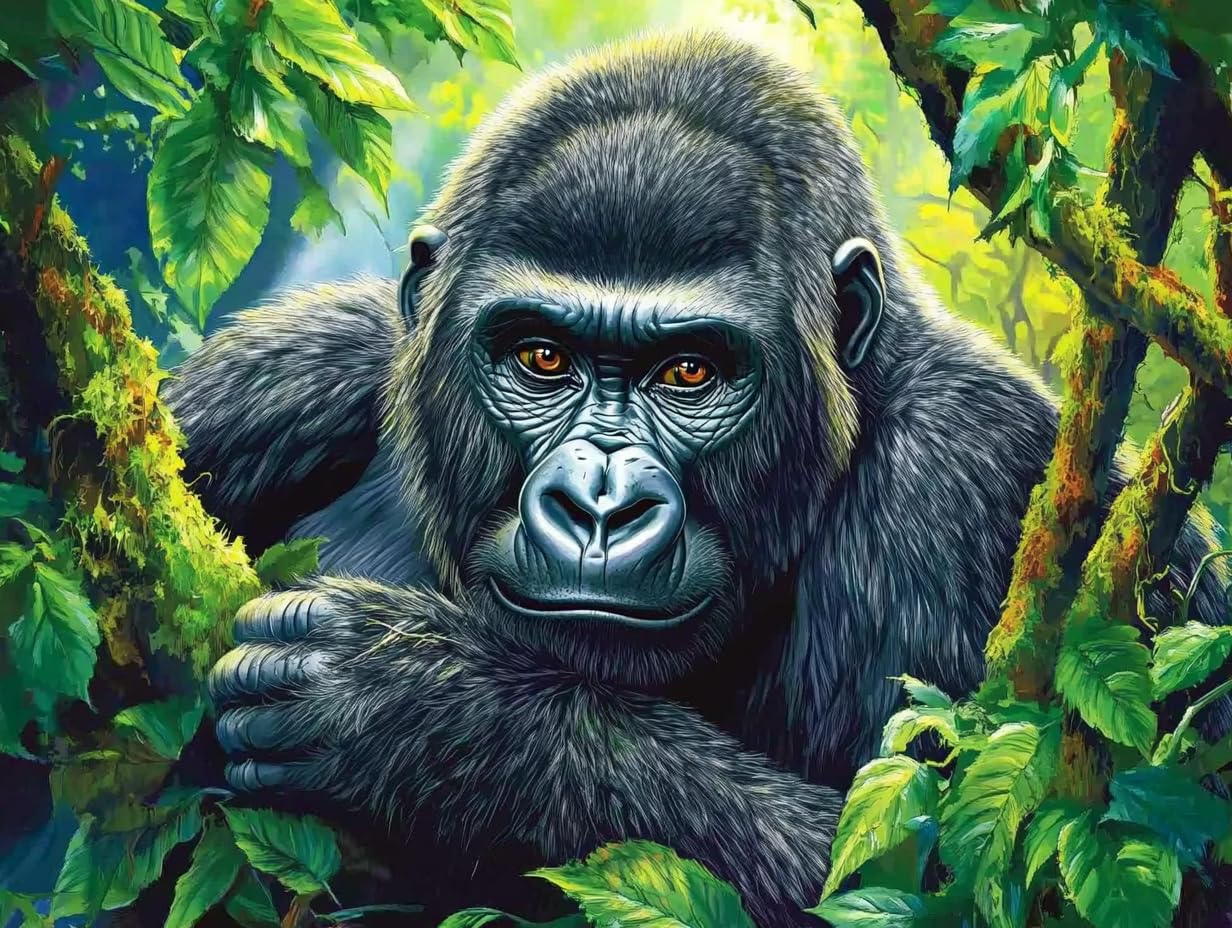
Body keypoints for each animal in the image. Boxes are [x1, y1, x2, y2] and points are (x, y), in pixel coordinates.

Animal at [163, 30, 1230, 925]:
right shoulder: (294, 367)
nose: (600, 506)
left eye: (691, 373)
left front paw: (424, 709)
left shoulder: (966, 471)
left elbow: (926, 874)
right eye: (542, 358)